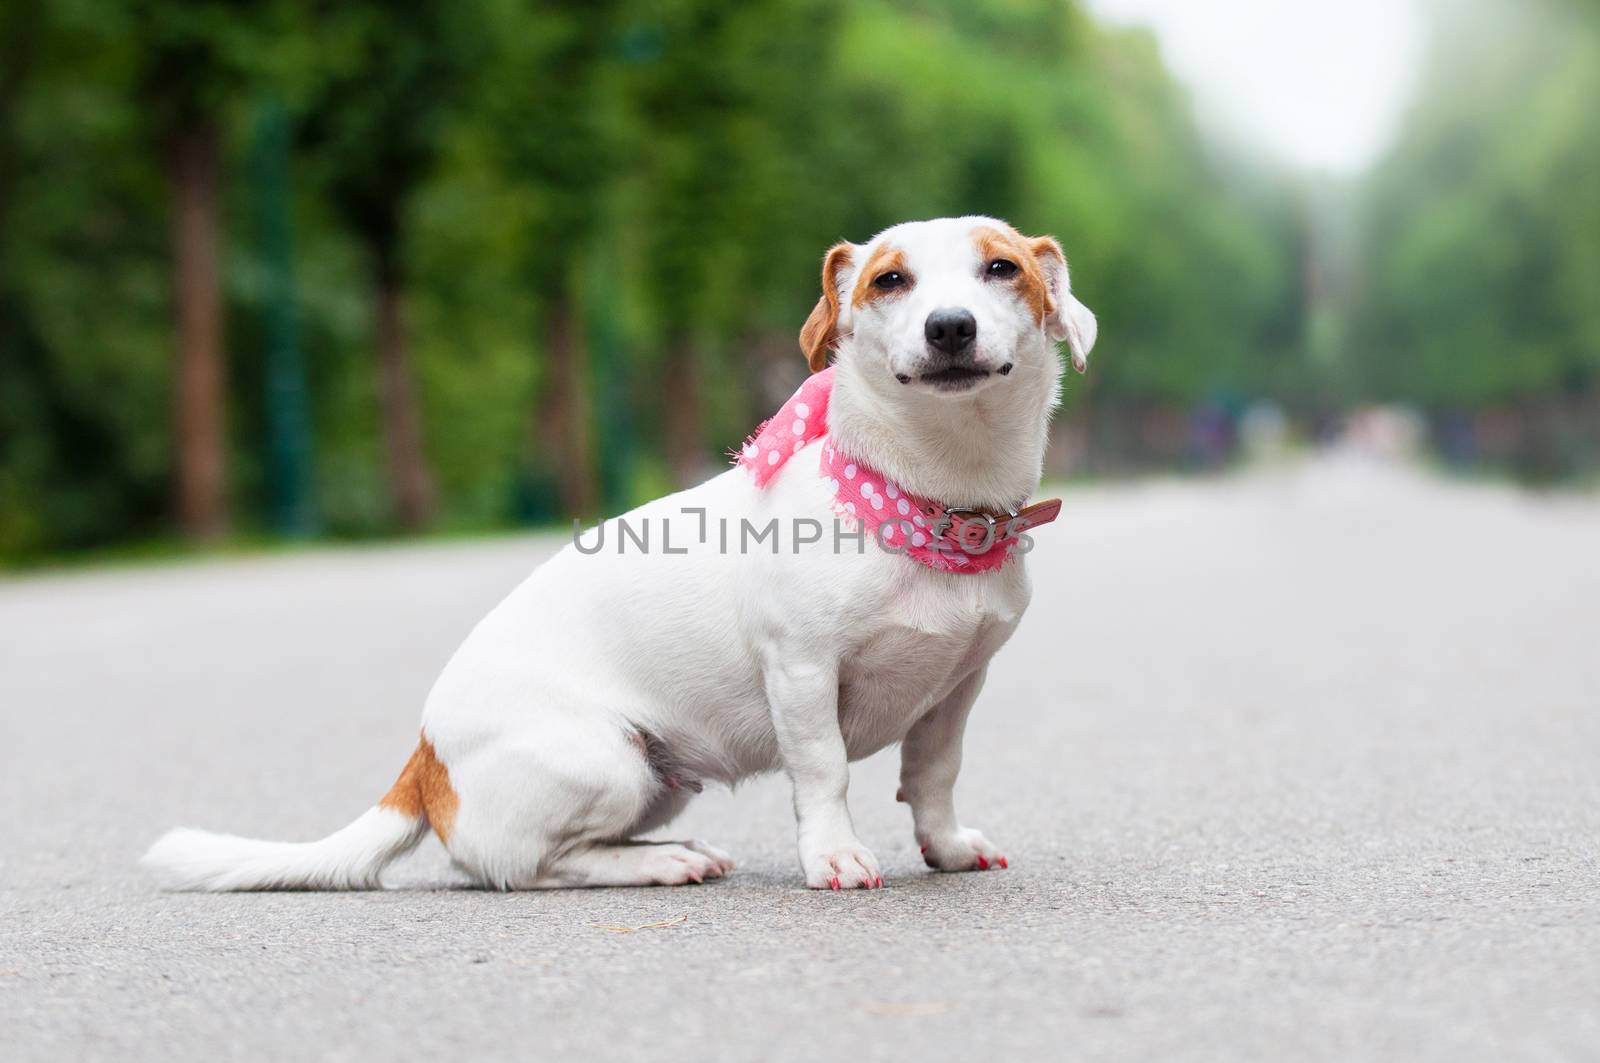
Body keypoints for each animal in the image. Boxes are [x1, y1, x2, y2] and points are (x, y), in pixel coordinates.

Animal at [144, 214, 1094, 890]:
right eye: (890, 279)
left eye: (1002, 268)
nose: (949, 326)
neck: (924, 496)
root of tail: (423, 760)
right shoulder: (801, 672)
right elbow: (823, 771)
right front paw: (834, 856)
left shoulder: (957, 685)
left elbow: (932, 773)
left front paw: (945, 846)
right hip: (607, 761)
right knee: (520, 867)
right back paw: (660, 862)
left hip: (653, 776)